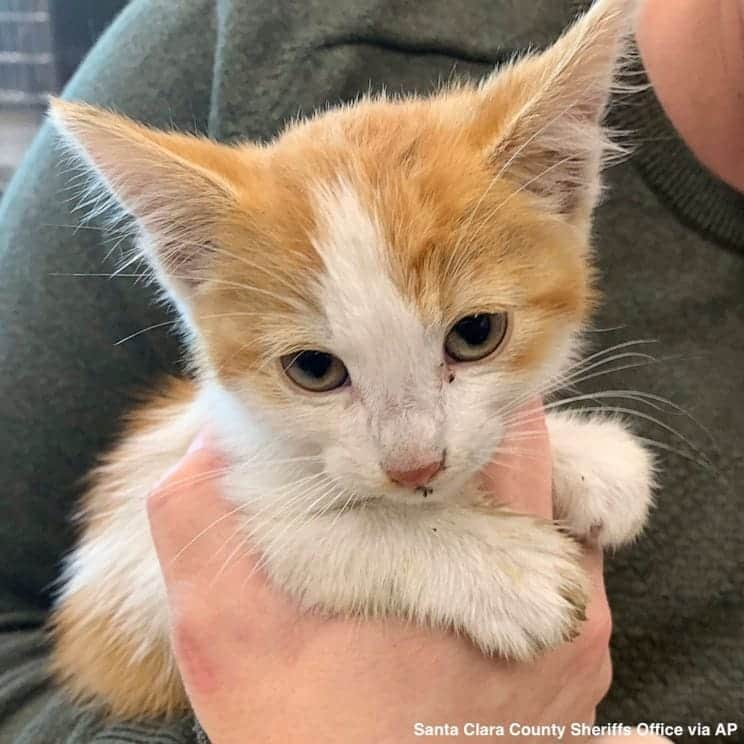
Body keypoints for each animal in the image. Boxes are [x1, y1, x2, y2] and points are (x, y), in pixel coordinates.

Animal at [49, 0, 652, 720]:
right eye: (314, 370)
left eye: (476, 332)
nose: (415, 467)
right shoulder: (223, 510)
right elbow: (329, 538)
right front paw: (499, 565)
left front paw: (590, 458)